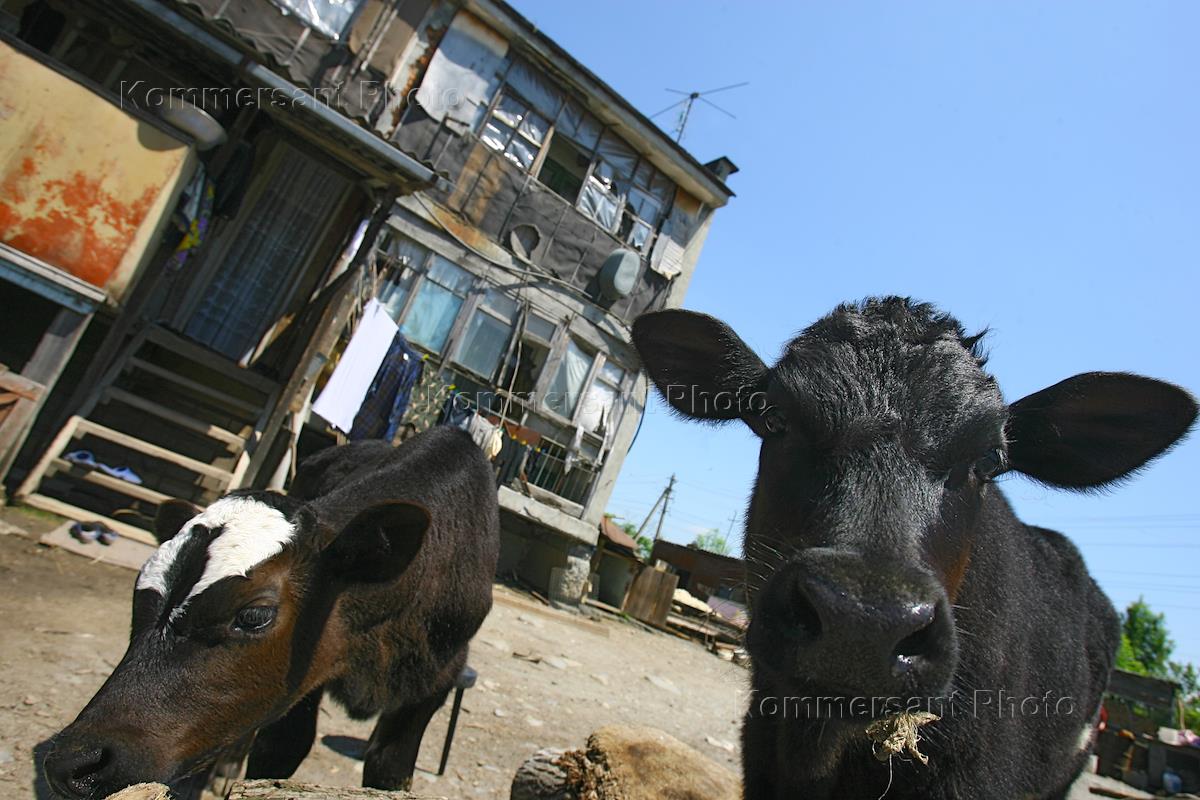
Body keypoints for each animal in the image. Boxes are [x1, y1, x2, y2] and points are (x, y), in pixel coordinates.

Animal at [43, 426, 499, 799]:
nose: (73, 759)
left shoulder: (438, 677)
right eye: (139, 597)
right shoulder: (305, 681)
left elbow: (389, 768)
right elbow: (278, 750)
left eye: (253, 616)